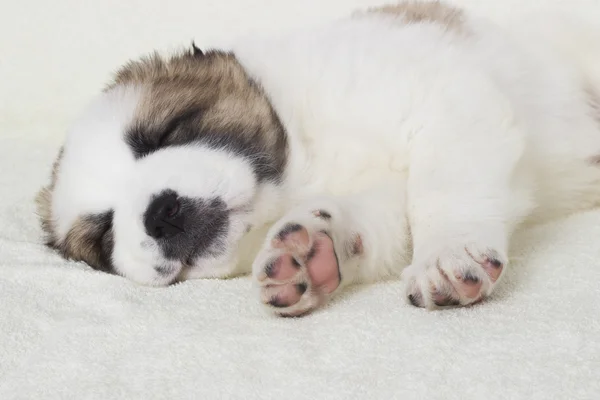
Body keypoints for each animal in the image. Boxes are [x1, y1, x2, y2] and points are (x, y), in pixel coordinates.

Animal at [36, 2, 600, 316]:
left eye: (166, 132)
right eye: (105, 233)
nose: (158, 213)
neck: (304, 162)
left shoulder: (446, 99)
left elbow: (443, 187)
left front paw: (447, 255)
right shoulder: (380, 193)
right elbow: (374, 224)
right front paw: (313, 250)